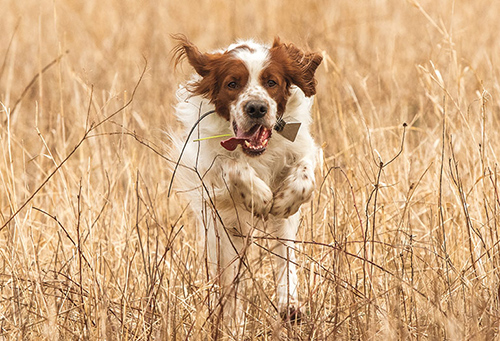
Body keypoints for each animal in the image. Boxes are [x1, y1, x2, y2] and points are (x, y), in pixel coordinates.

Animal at [170, 35, 322, 324]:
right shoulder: (210, 173)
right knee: (230, 286)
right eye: (232, 84)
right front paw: (260, 197)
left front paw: (284, 200)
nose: (256, 108)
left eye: (271, 82)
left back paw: (289, 305)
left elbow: (304, 175)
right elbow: (232, 167)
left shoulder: (300, 147)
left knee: (285, 257)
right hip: (222, 237)